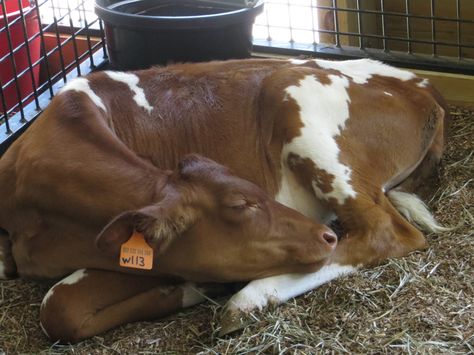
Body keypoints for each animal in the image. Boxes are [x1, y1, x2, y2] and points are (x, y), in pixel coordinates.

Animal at [0, 59, 448, 344]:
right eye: (241, 204)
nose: (323, 235)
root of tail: (425, 89)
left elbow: (58, 305)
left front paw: (196, 287)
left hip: (301, 109)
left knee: (385, 233)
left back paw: (247, 300)